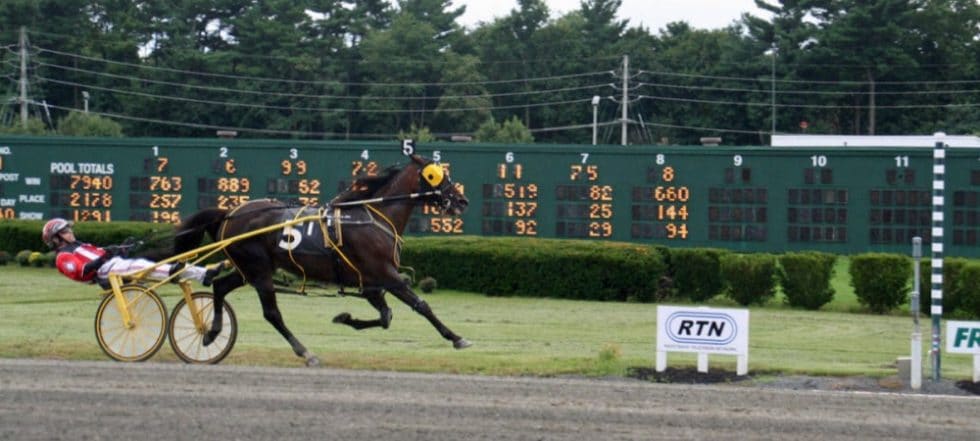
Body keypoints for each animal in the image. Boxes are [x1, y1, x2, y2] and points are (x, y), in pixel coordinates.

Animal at [178, 153, 472, 366]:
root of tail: (228, 213)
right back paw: (306, 352)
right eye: (436, 175)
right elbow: (421, 306)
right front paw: (457, 338)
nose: (462, 200)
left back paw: (212, 332)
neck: (374, 217)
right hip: (258, 270)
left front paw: (344, 318)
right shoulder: (386, 274)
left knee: (220, 286)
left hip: (249, 268)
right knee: (272, 314)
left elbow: (386, 317)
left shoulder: (371, 282)